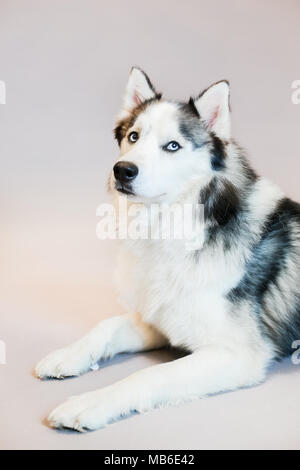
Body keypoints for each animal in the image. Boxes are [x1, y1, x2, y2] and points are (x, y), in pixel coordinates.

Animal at [36, 68, 300, 432]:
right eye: (133, 137)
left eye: (172, 146)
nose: (123, 170)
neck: (170, 228)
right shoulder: (161, 319)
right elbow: (108, 325)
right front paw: (68, 354)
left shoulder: (238, 355)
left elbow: (148, 376)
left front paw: (90, 402)